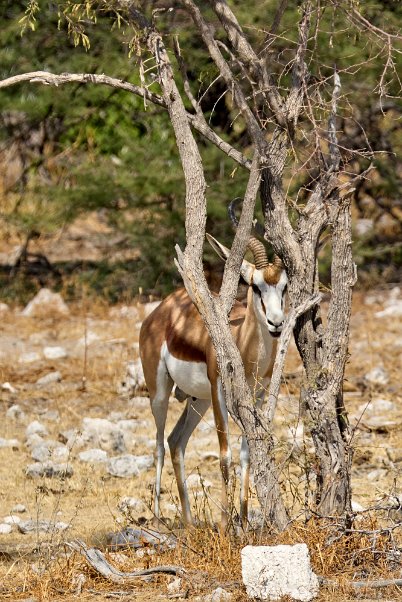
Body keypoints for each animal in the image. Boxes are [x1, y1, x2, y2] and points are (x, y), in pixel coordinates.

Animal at [140, 216, 288, 524]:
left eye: (284, 286)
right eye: (256, 286)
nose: (276, 323)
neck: (241, 342)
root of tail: (162, 309)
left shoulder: (256, 395)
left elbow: (246, 453)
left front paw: (243, 523)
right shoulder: (219, 390)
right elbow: (225, 454)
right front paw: (224, 526)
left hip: (199, 400)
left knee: (175, 441)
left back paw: (188, 522)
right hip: (160, 393)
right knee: (158, 445)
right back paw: (158, 519)